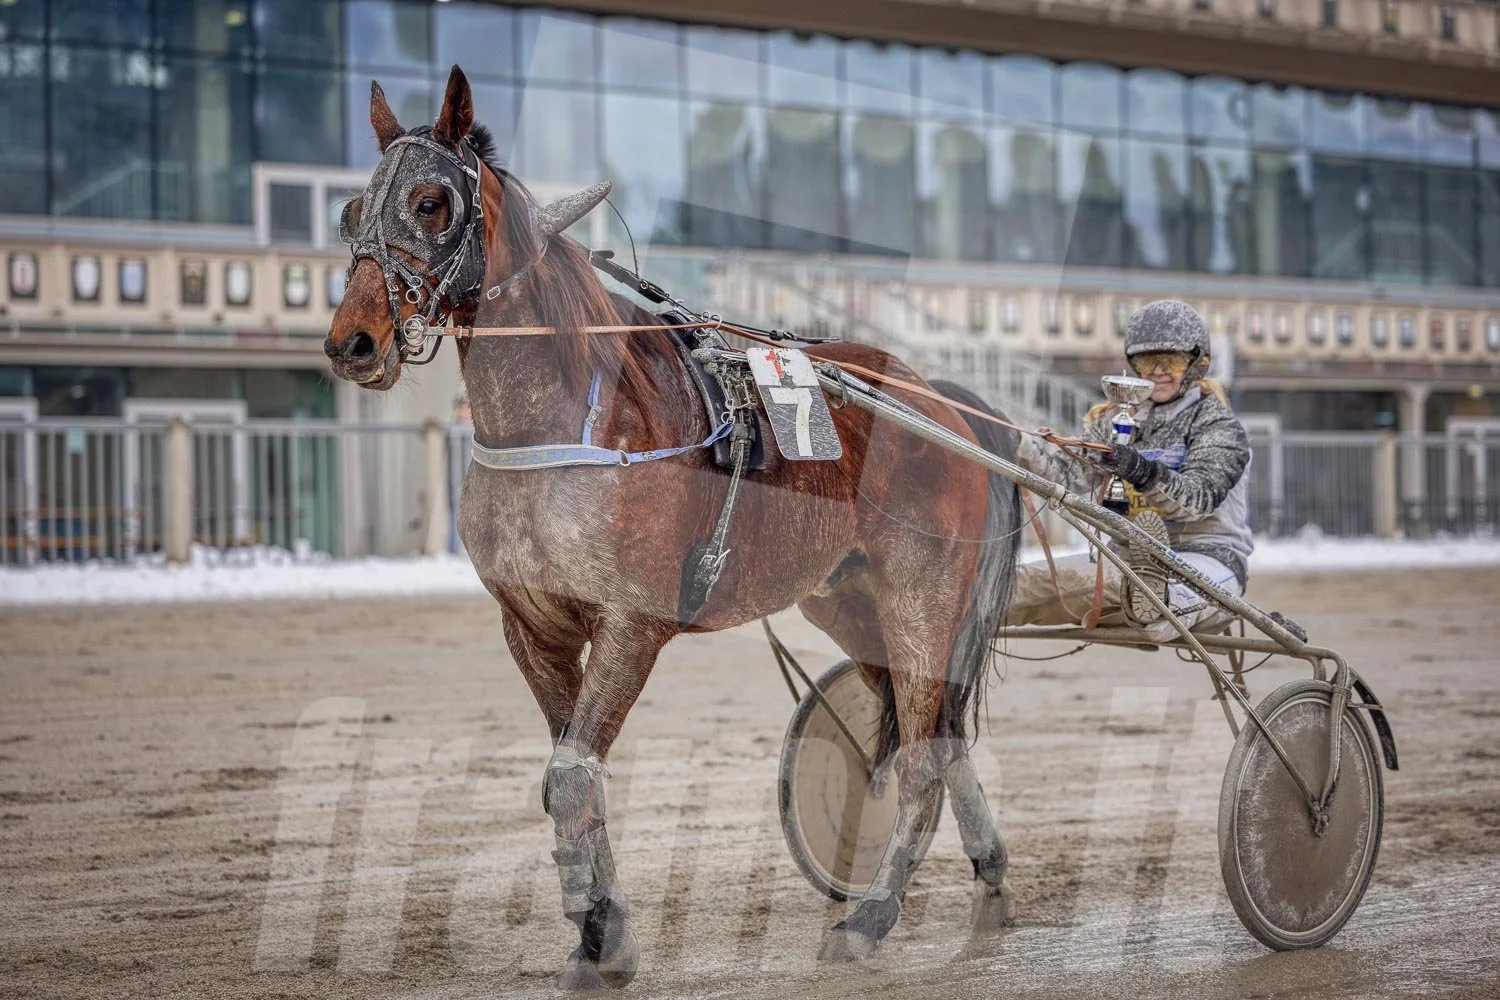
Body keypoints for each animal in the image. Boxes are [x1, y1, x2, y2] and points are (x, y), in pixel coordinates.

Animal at [324, 65, 1023, 989]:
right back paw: (989, 880)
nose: (354, 343)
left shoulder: (632, 623)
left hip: (921, 598)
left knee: (918, 760)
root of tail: (939, 399)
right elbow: (571, 776)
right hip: (850, 602)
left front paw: (604, 939)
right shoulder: (533, 628)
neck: (567, 421)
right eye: (350, 213)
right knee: (937, 736)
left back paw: (870, 919)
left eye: (433, 202)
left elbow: (571, 778)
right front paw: (595, 932)